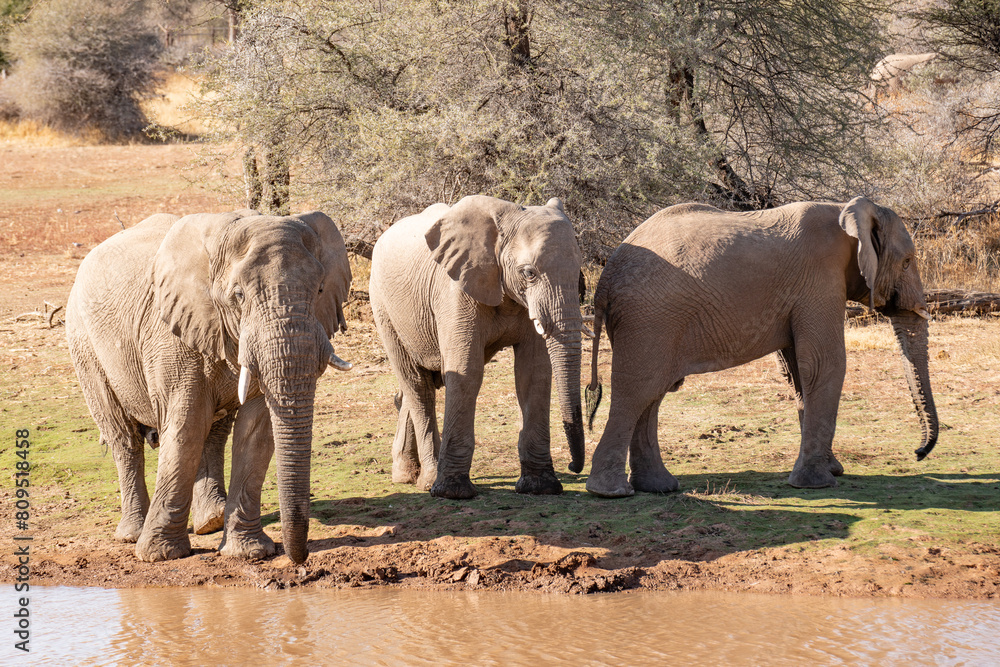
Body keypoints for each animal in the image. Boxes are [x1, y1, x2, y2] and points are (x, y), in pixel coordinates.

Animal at [66, 209, 352, 563]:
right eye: (238, 296)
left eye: (320, 290)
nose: (300, 560)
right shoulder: (170, 333)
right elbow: (186, 424)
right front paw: (160, 556)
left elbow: (257, 428)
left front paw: (248, 553)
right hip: (84, 345)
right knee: (124, 437)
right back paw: (132, 533)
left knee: (213, 433)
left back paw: (210, 522)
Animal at [368, 195, 586, 499]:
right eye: (529, 273)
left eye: (578, 273)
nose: (574, 466)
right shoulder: (455, 291)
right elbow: (465, 372)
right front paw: (454, 492)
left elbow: (534, 374)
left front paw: (541, 487)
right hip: (383, 307)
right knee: (417, 385)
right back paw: (428, 481)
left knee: (415, 387)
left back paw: (406, 475)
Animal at [584, 197, 938, 497]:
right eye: (907, 262)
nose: (919, 453)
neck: (848, 210)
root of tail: (604, 280)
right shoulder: (820, 279)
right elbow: (825, 362)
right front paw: (818, 483)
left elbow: (798, 372)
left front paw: (833, 470)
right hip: (649, 319)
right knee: (638, 390)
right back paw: (611, 492)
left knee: (653, 395)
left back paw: (659, 487)